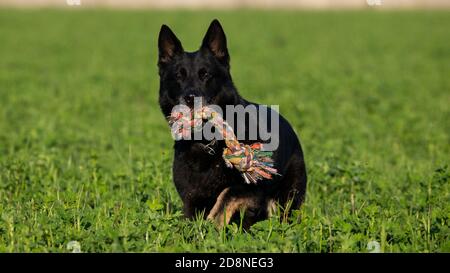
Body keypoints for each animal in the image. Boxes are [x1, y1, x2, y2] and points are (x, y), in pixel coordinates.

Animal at [157, 19, 306, 227]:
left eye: (205, 75)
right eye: (179, 75)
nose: (190, 98)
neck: (207, 142)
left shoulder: (254, 186)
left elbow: (228, 192)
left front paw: (216, 221)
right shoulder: (190, 199)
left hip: (289, 197)